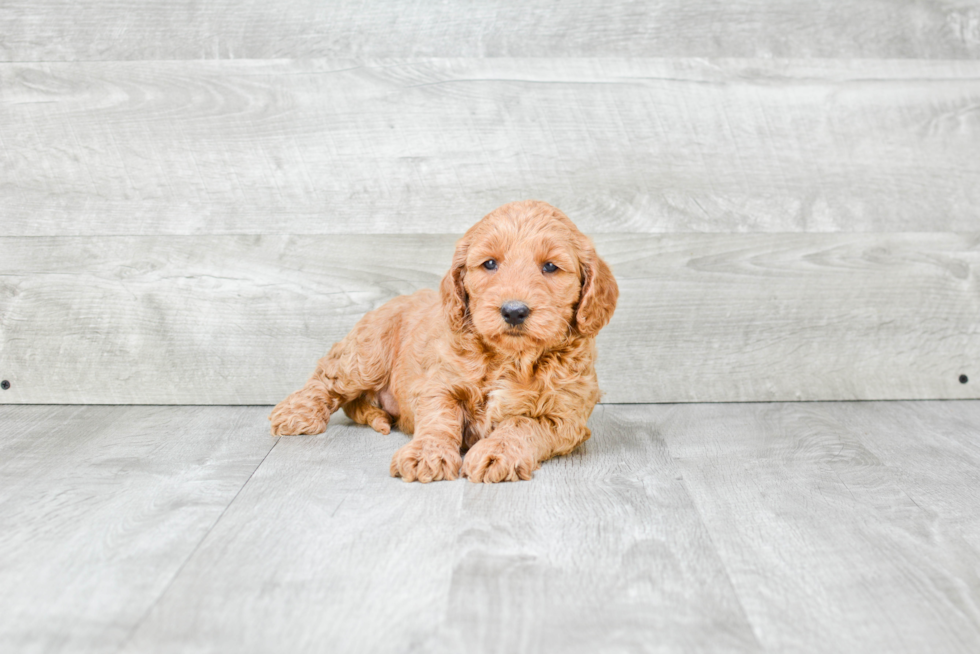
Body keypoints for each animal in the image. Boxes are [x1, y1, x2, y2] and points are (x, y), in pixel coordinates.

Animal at [268, 202, 616, 484]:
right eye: (490, 264)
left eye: (551, 267)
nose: (514, 311)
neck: (510, 358)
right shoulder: (439, 384)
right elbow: (439, 419)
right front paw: (427, 454)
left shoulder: (565, 415)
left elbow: (521, 425)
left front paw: (497, 453)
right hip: (367, 356)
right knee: (328, 378)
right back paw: (296, 414)